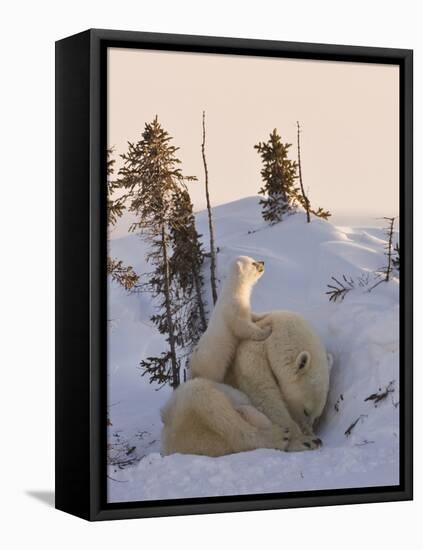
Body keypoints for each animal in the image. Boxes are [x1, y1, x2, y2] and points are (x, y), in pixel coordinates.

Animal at [225, 312, 332, 450]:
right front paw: (306, 440)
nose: (308, 430)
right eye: (306, 411)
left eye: (317, 416)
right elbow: (265, 396)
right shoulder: (250, 357)